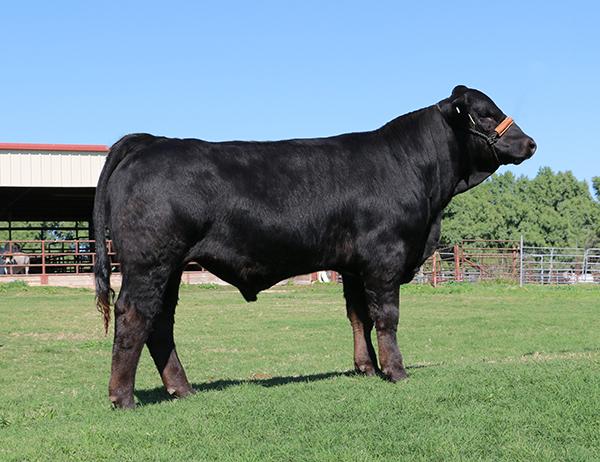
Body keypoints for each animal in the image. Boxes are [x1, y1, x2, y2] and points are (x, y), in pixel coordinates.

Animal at [94, 85, 536, 406]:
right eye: (487, 113)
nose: (530, 143)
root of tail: (152, 141)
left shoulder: (354, 266)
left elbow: (358, 316)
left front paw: (366, 368)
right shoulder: (385, 258)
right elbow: (386, 317)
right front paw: (395, 371)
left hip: (169, 268)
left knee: (161, 322)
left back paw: (182, 389)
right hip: (150, 262)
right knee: (135, 315)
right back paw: (123, 398)